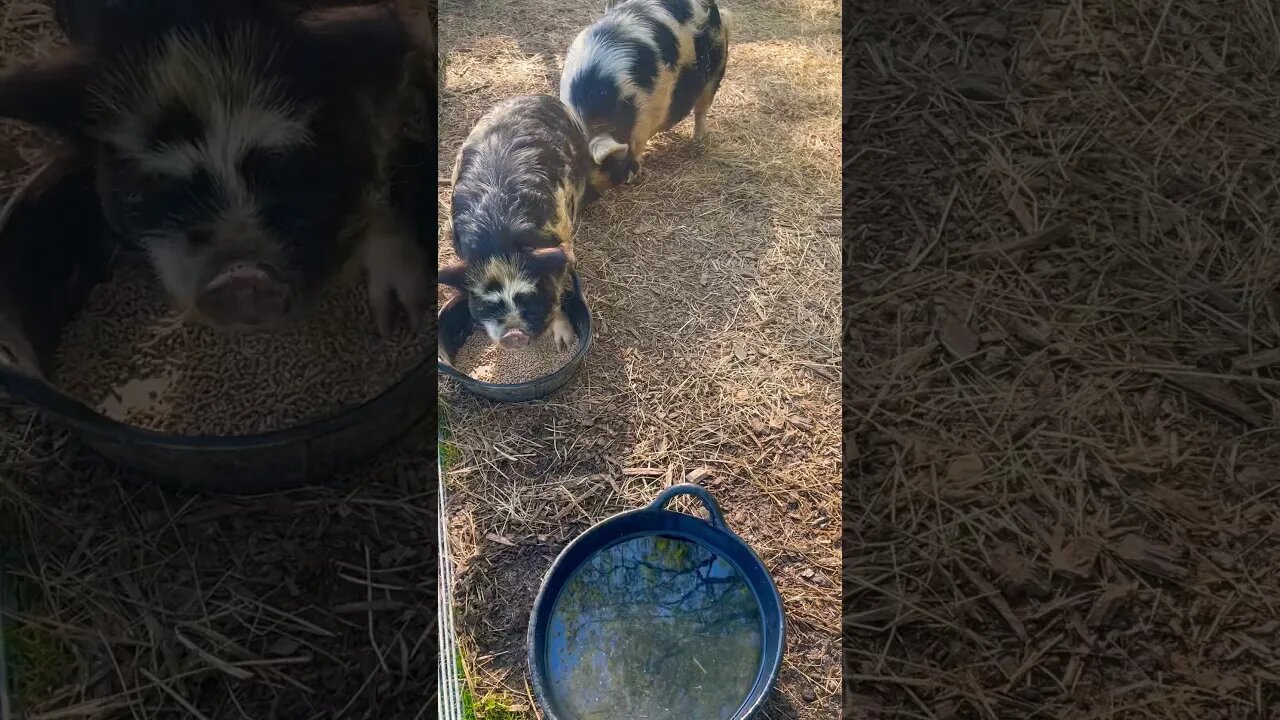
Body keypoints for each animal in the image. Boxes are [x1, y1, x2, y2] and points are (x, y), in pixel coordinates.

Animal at [437, 95, 591, 353]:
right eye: (487, 304)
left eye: (526, 297)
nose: (513, 334)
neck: (497, 240)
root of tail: (535, 96)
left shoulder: (561, 233)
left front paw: (564, 344)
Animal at [558, 0, 732, 190]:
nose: (617, 181)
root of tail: (716, 10)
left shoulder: (648, 111)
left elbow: (637, 145)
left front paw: (632, 177)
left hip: (717, 66)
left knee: (702, 108)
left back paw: (697, 139)